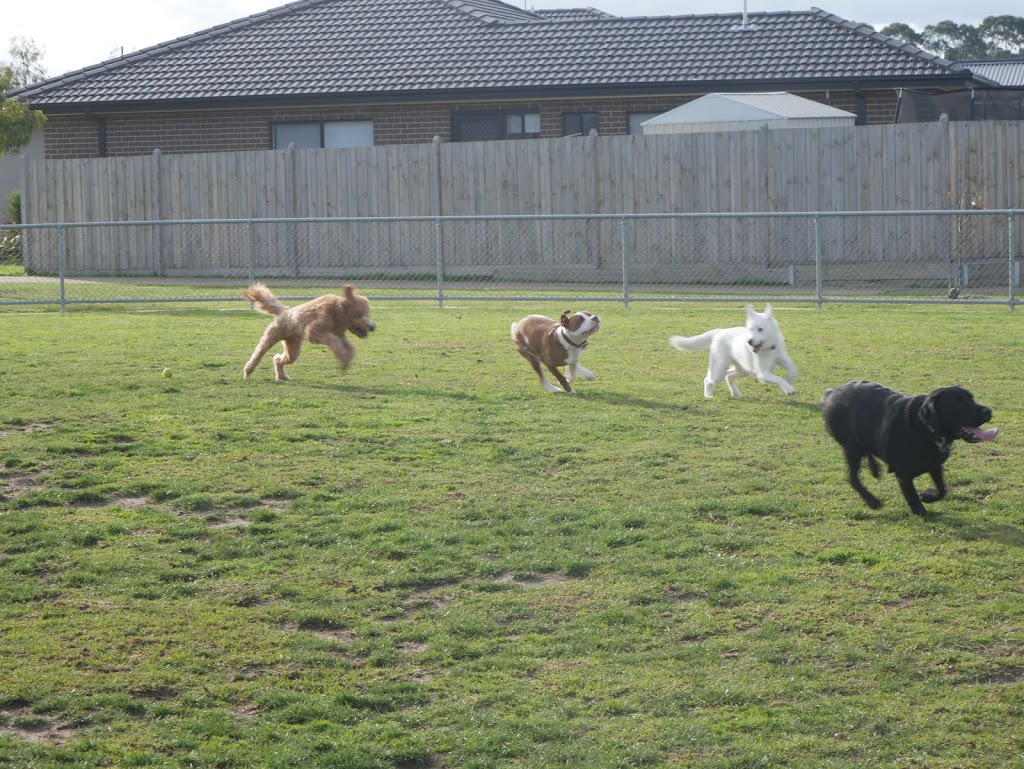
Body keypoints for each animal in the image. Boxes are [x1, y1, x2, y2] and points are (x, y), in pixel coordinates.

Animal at [241, 282, 374, 382]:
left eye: (367, 314)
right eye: (359, 315)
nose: (373, 327)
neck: (338, 311)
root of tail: (284, 311)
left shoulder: (341, 335)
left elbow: (349, 348)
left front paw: (345, 361)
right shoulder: (313, 331)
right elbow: (333, 341)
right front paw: (343, 360)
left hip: (292, 348)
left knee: (278, 359)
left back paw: (282, 376)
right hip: (272, 336)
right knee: (258, 354)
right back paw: (248, 371)